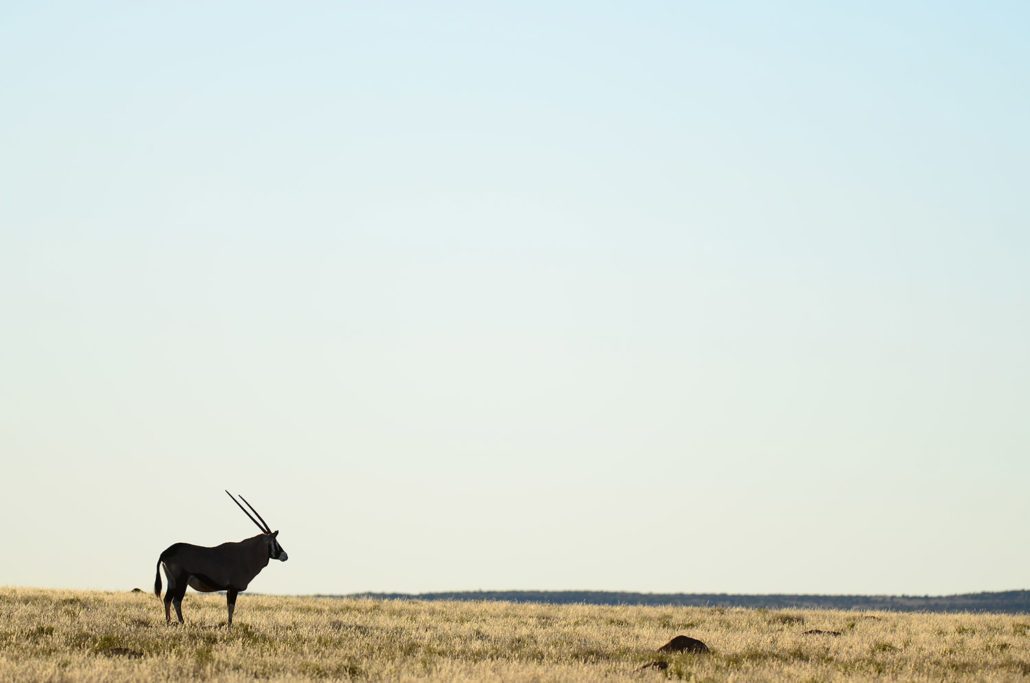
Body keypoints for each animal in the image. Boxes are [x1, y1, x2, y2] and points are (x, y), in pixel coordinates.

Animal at [154, 491, 288, 626]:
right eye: (275, 541)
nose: (285, 555)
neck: (246, 553)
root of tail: (165, 552)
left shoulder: (229, 589)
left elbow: (229, 608)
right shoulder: (233, 588)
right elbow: (231, 608)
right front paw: (229, 627)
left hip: (172, 582)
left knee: (167, 599)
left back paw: (168, 622)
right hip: (181, 581)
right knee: (176, 600)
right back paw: (182, 622)